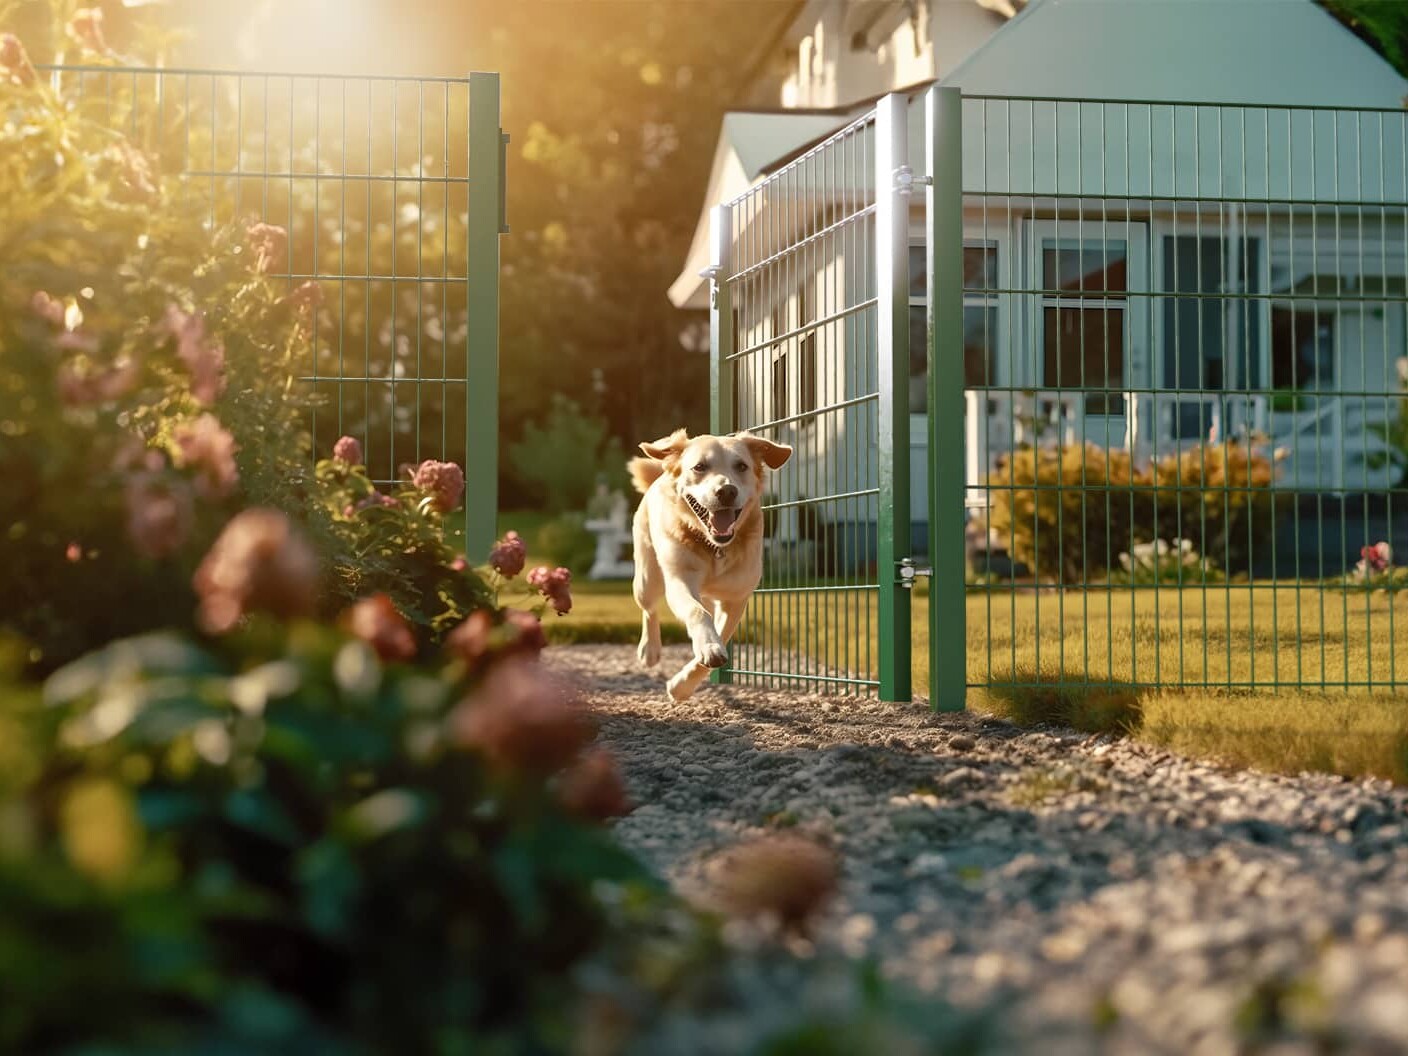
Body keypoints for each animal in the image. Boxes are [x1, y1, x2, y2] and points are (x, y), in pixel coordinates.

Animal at [627, 430, 794, 704]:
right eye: (699, 467)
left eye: (741, 466)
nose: (726, 491)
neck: (714, 547)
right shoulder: (680, 581)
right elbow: (697, 612)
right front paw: (708, 647)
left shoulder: (736, 599)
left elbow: (720, 634)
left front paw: (682, 685)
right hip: (646, 578)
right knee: (649, 609)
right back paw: (650, 649)